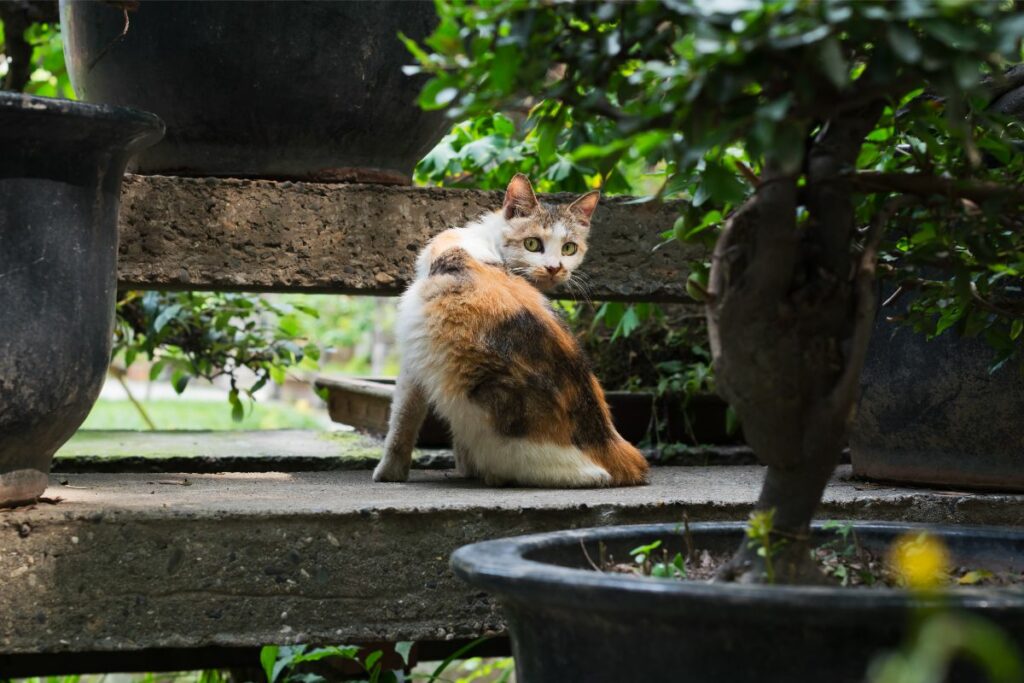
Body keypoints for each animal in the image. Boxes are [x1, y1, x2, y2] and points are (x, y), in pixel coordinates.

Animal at [374, 174, 647, 489]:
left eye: (568, 248)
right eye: (532, 244)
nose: (554, 268)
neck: (485, 243)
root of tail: (611, 446)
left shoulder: (415, 355)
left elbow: (402, 419)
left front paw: (389, 472)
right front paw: (464, 467)